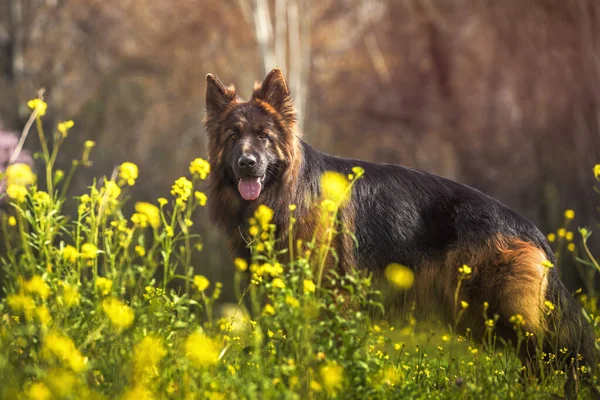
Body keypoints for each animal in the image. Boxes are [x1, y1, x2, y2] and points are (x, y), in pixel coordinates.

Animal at [204, 69, 596, 388]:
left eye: (264, 136)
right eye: (233, 136)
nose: (247, 163)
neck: (288, 192)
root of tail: (531, 229)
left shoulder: (330, 295)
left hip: (501, 311)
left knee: (552, 355)